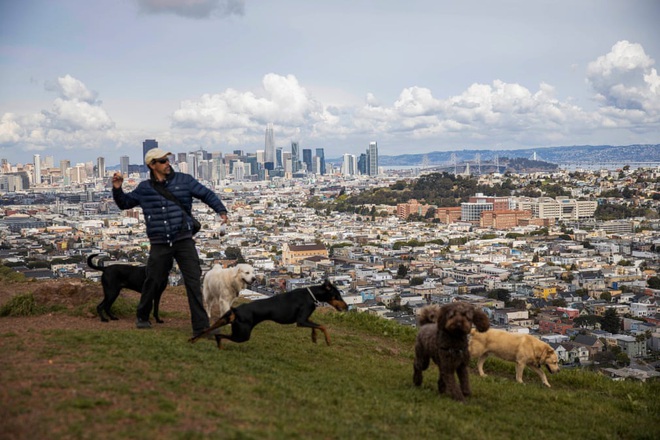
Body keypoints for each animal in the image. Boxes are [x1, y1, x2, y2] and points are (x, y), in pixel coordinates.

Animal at [188, 280, 348, 348]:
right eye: (337, 296)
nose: (346, 307)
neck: (311, 294)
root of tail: (236, 310)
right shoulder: (301, 321)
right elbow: (322, 326)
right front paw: (328, 341)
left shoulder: (303, 319)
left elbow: (316, 326)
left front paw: (314, 338)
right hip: (243, 334)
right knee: (219, 336)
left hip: (225, 321)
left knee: (207, 331)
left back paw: (194, 340)